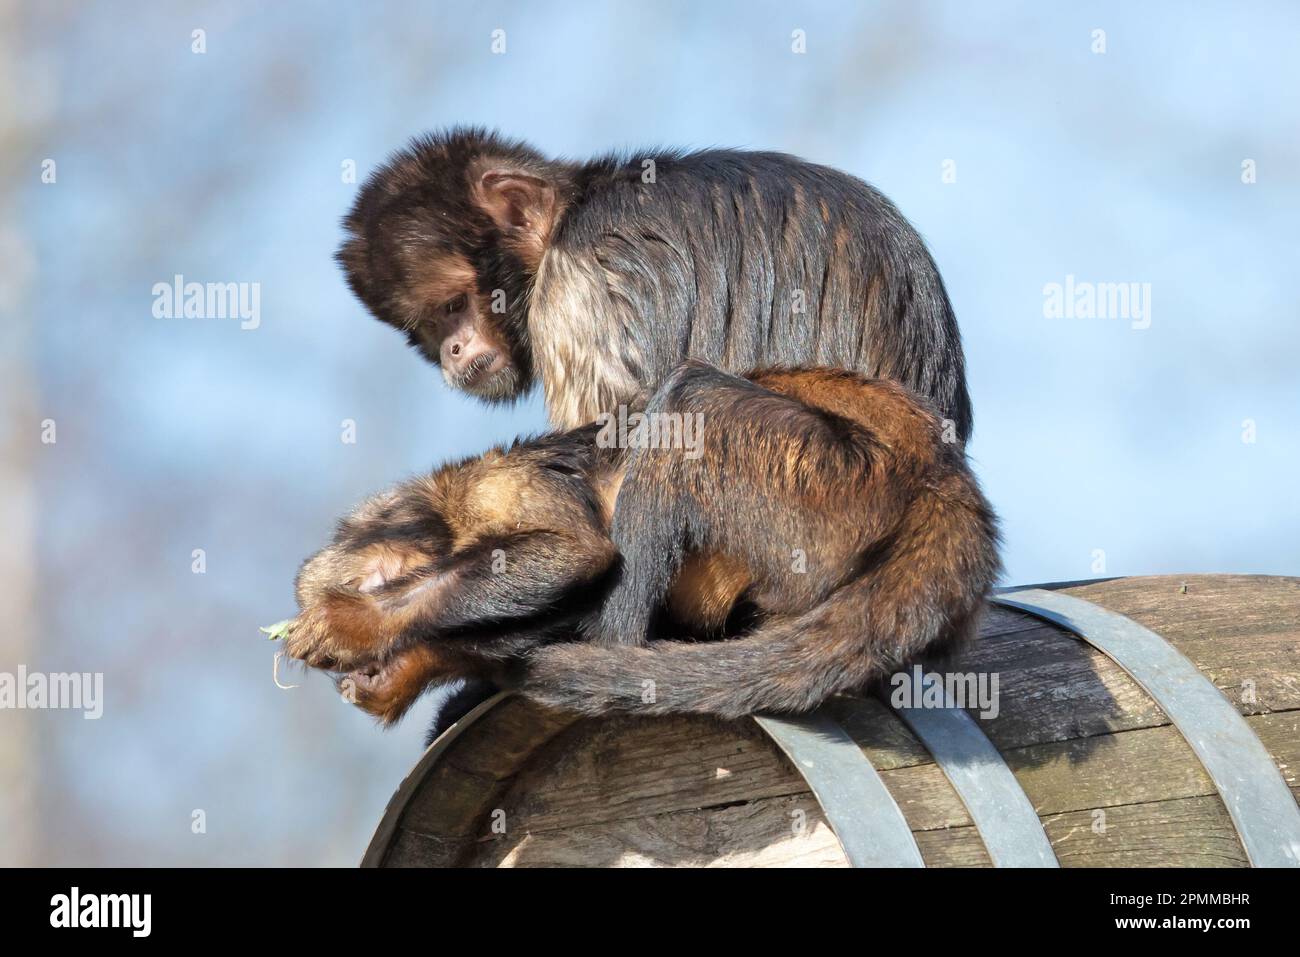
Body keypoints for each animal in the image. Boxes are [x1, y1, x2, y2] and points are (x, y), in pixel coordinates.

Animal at [282, 361, 993, 722]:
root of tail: (936, 466)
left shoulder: (499, 486)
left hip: (829, 485)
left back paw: (611, 647)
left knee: (692, 400)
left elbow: (578, 555)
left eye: (375, 578)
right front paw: (407, 668)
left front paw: (364, 624)